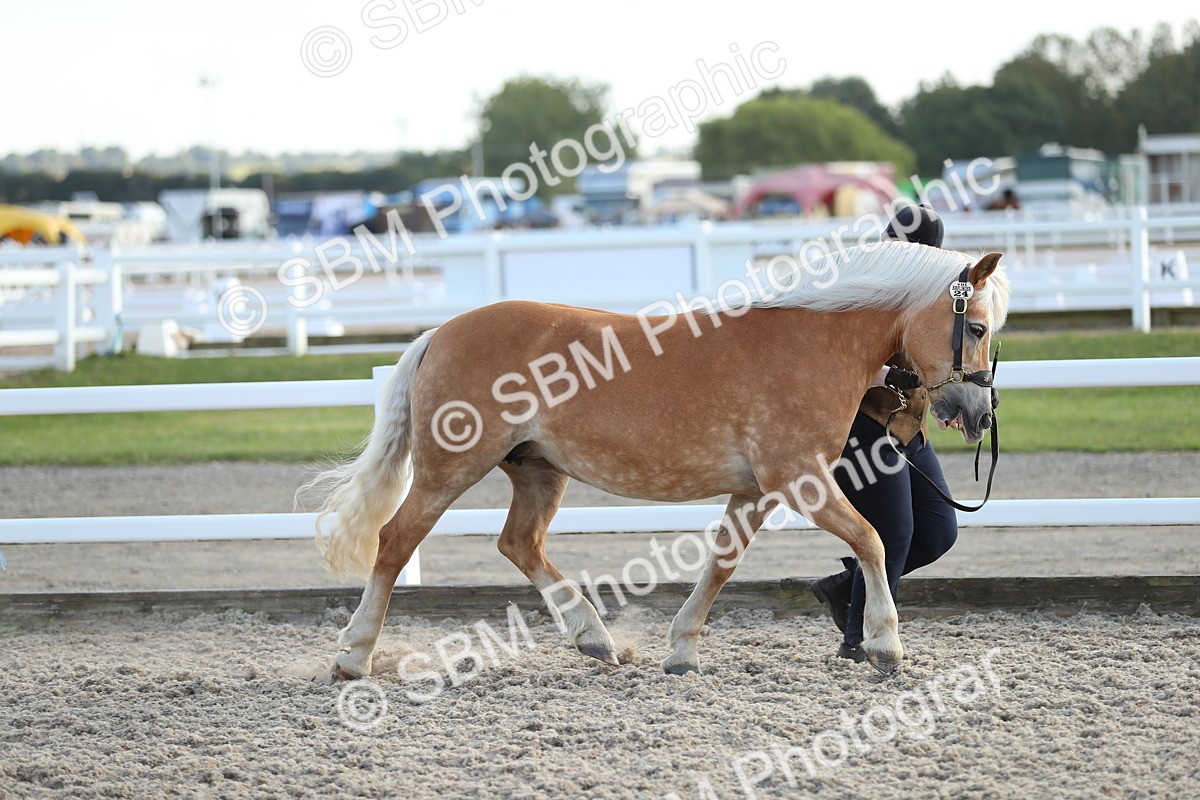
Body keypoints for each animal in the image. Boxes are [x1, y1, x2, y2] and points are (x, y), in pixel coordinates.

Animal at [304, 241, 1010, 679]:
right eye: (976, 328)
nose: (978, 415)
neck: (815, 341)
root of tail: (439, 333)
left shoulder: (755, 490)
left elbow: (722, 563)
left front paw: (682, 652)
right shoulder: (799, 480)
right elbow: (871, 540)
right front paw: (887, 645)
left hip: (537, 471)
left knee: (519, 543)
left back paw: (594, 638)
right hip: (450, 468)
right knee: (396, 541)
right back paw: (353, 657)